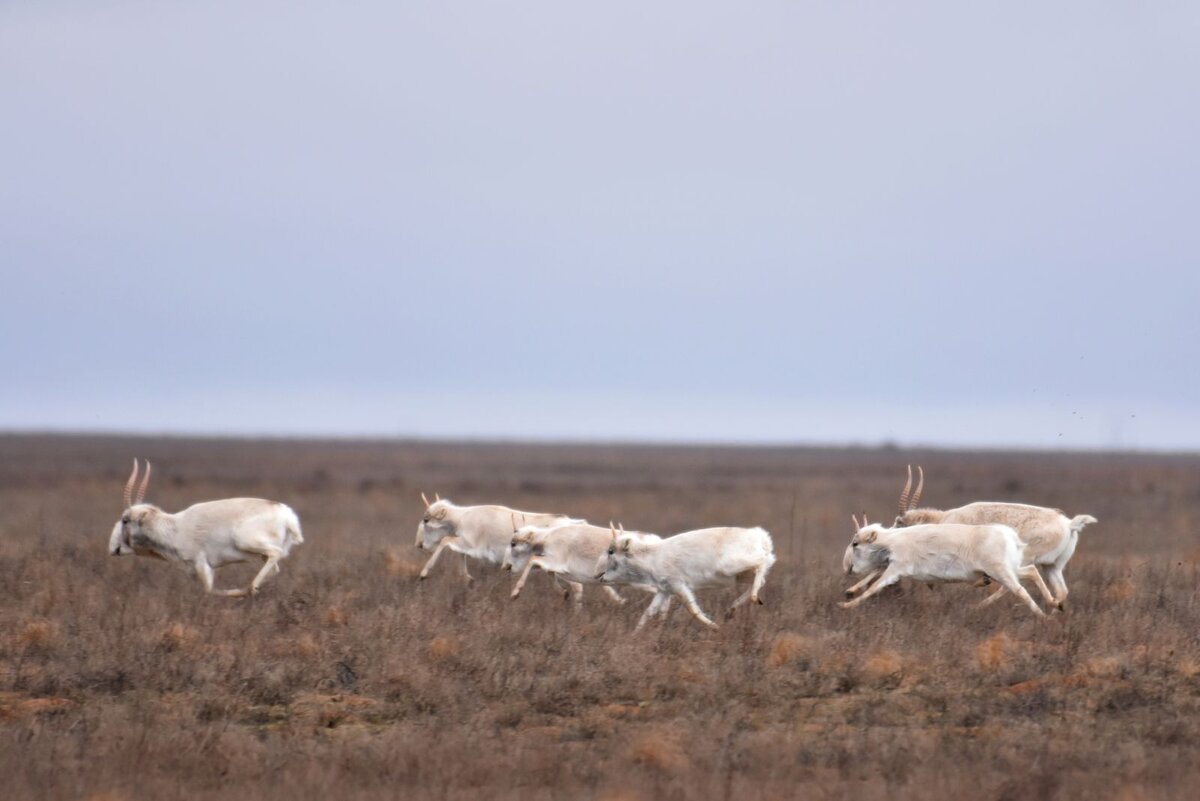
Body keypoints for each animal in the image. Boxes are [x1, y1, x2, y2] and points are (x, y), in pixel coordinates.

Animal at [108, 460, 302, 597]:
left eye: (125, 520)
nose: (113, 548)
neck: (175, 528)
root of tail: (286, 515)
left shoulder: (201, 563)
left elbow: (209, 590)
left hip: (248, 543)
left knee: (275, 554)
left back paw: (251, 588)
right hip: (261, 554)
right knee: (274, 568)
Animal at [412, 494, 580, 582]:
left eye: (426, 520)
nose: (418, 544)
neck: (460, 518)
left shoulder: (470, 544)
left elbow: (445, 541)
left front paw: (424, 573)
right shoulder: (465, 544)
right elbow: (459, 554)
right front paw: (468, 579)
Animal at [592, 525, 777, 633]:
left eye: (611, 551)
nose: (597, 574)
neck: (651, 557)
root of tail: (761, 537)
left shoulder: (679, 585)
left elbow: (692, 608)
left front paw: (714, 626)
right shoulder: (664, 590)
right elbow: (649, 612)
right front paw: (635, 634)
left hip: (731, 567)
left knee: (761, 563)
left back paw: (753, 598)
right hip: (738, 575)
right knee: (761, 578)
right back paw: (732, 610)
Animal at [840, 515, 1056, 618]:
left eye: (855, 543)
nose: (847, 567)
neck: (892, 541)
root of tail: (1011, 537)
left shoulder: (897, 567)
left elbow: (875, 586)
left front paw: (846, 605)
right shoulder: (890, 565)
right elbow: (873, 576)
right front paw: (851, 591)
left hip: (1000, 571)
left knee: (1020, 590)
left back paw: (1044, 616)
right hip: (1006, 570)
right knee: (1031, 572)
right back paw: (1055, 603)